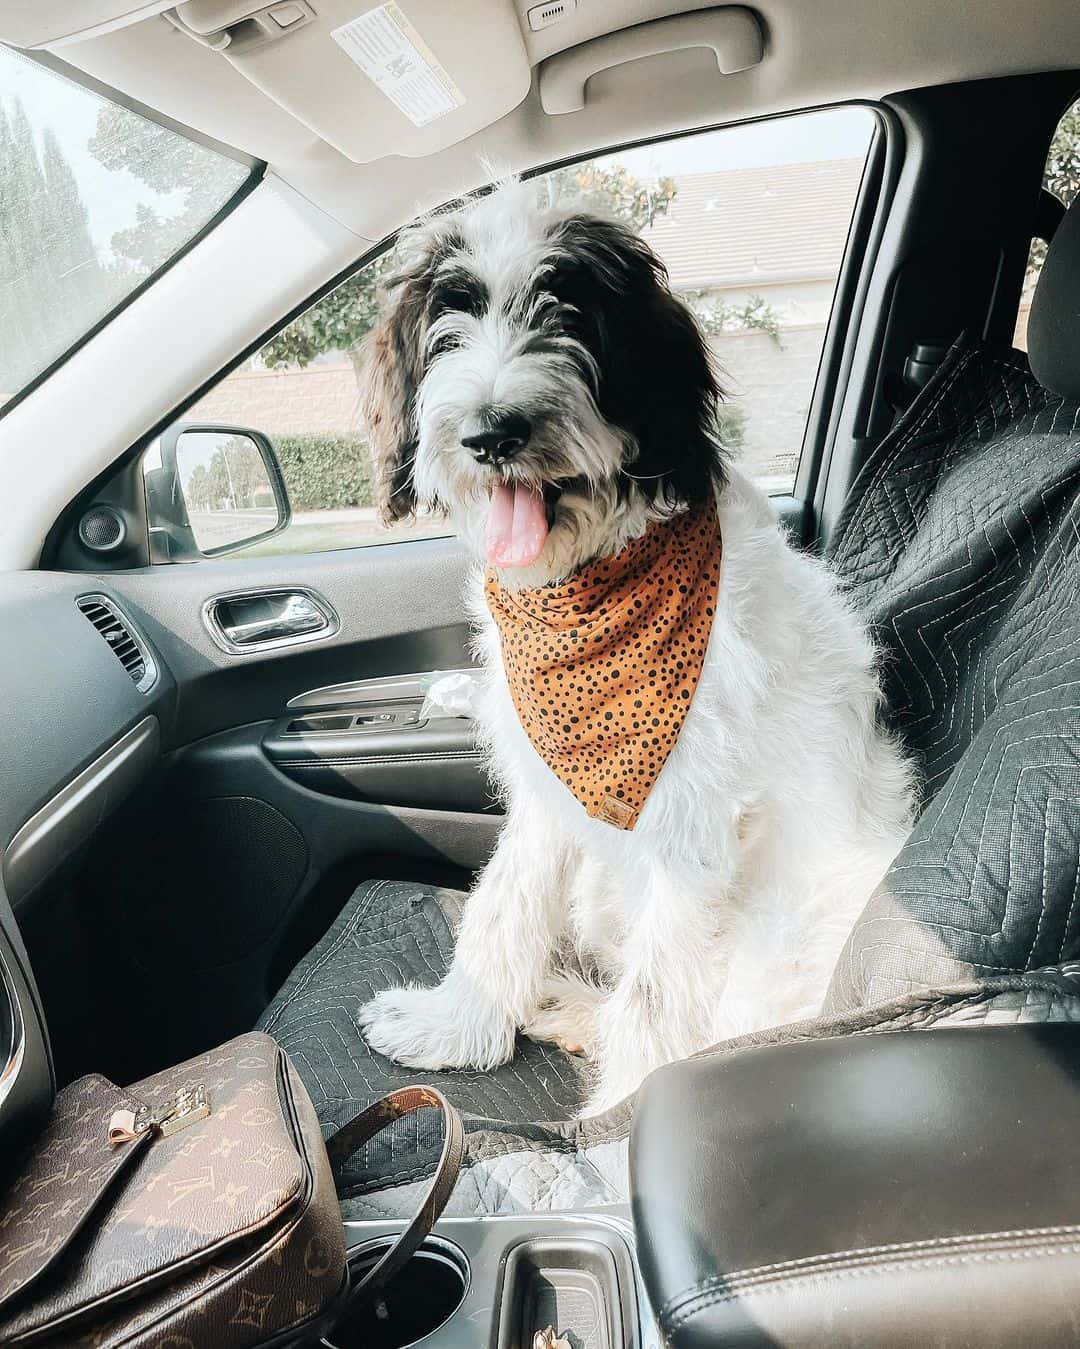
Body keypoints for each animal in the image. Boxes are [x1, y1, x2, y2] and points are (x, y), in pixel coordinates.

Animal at [355, 179, 911, 1111]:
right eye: (448, 316)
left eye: (570, 314)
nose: (492, 431)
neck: (588, 587)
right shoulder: (548, 784)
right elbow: (504, 903)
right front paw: (456, 1028)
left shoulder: (695, 818)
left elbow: (658, 996)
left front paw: (625, 1117)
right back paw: (563, 1005)